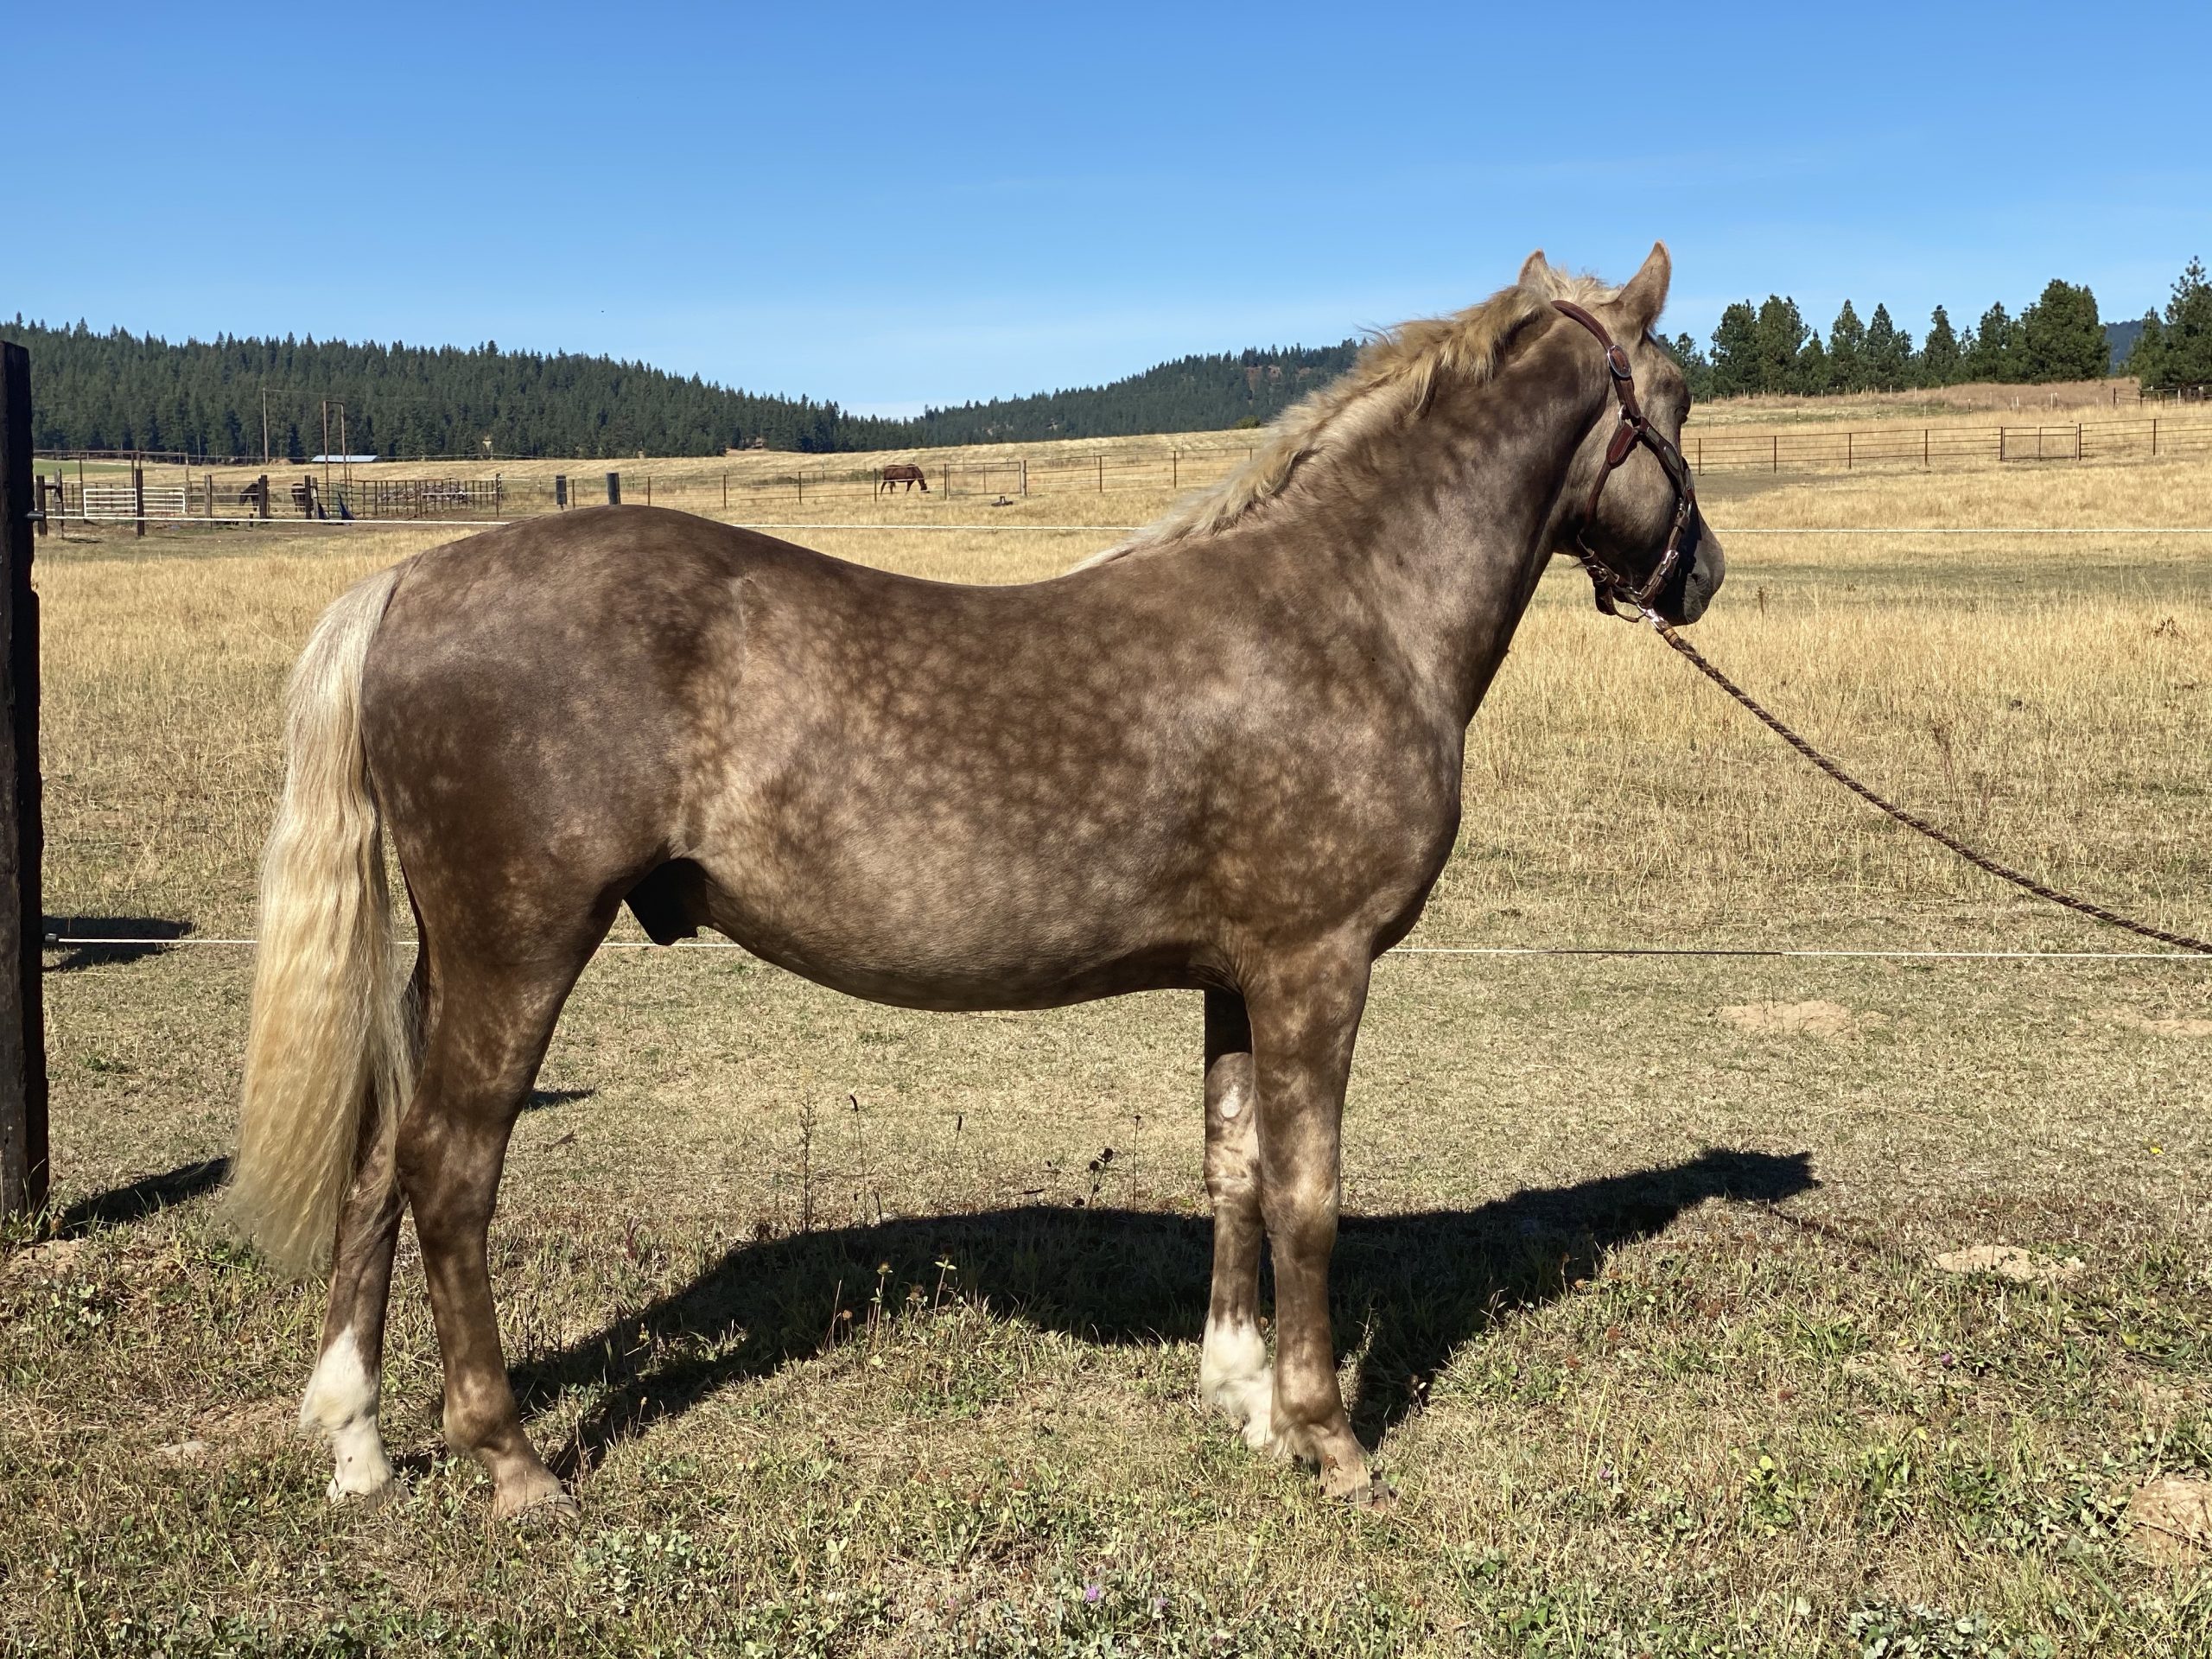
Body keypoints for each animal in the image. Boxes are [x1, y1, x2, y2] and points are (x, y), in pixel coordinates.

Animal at [228, 243, 1725, 1522]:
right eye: (1680, 398)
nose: (1699, 573)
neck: (1352, 609)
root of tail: (409, 579)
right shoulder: (1319, 965)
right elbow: (1310, 1193)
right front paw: (1328, 1434)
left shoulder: (1238, 976)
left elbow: (1234, 1169)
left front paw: (1241, 1400)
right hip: (521, 946)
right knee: (449, 1167)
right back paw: (512, 1461)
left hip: (450, 958)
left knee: (381, 1156)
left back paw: (357, 1442)